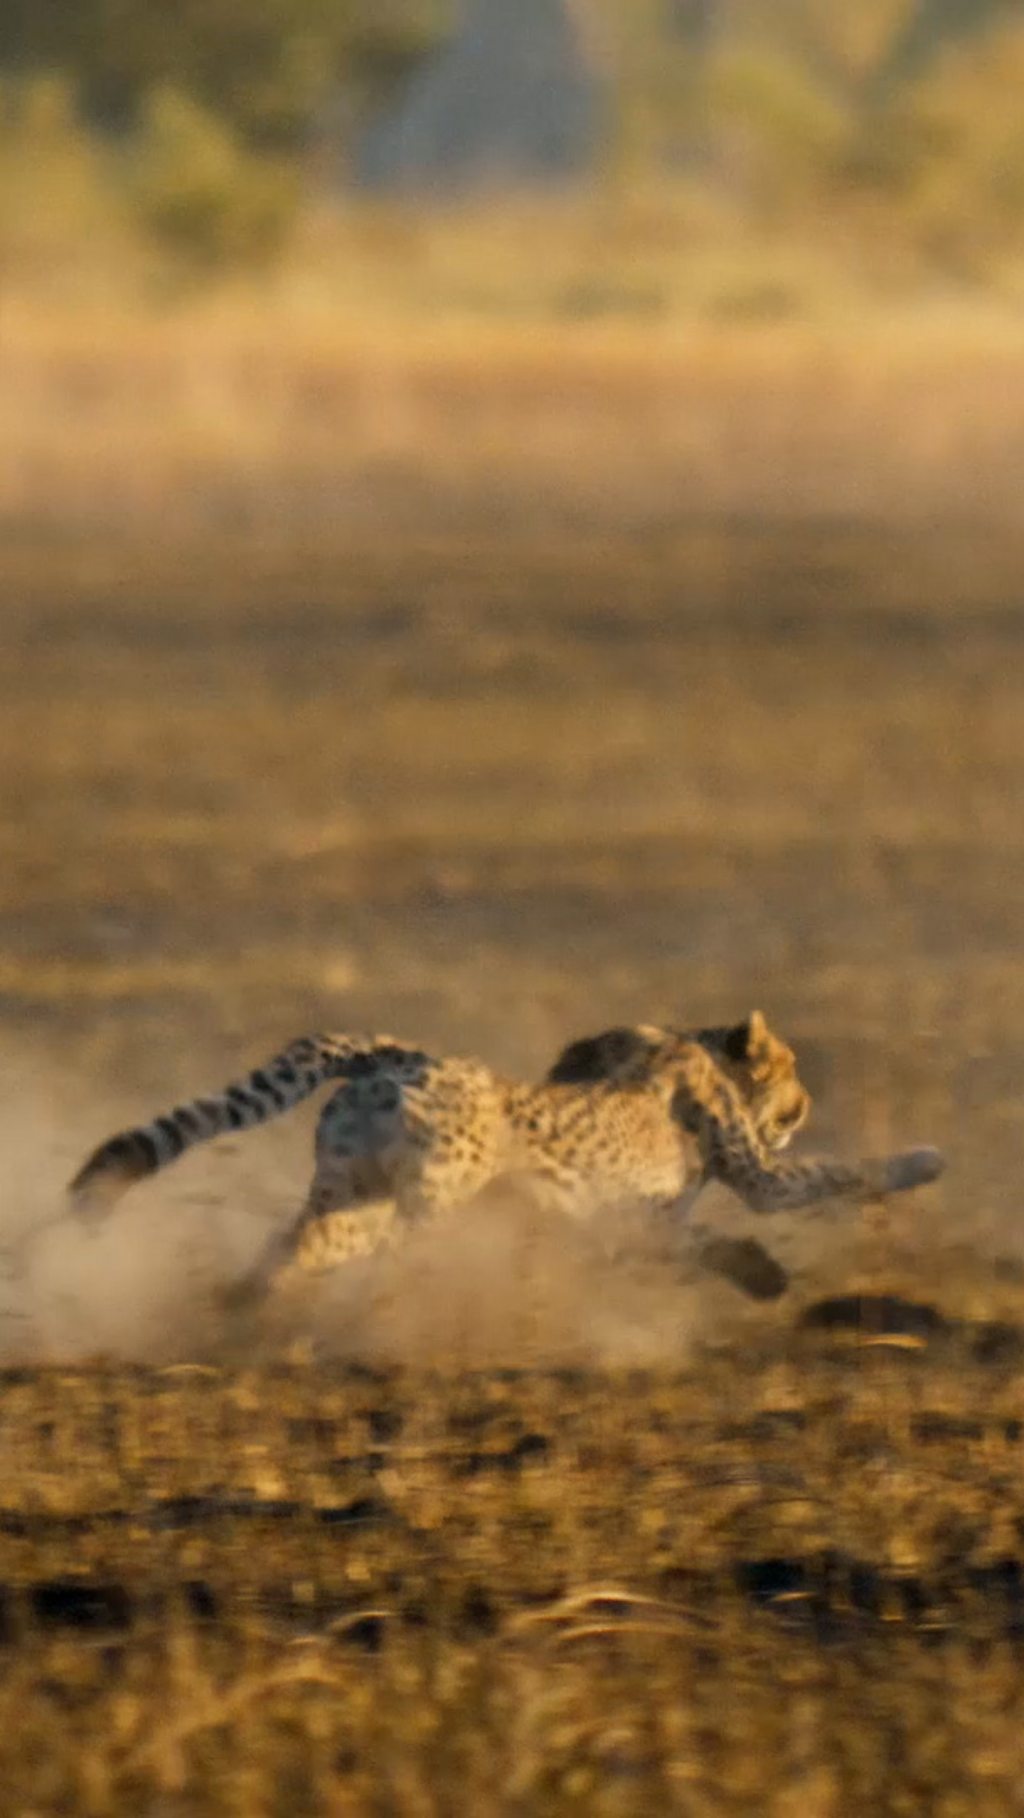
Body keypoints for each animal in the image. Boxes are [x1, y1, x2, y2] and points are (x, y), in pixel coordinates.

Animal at [65, 1010, 945, 1308]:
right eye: (791, 1067)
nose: (807, 1100)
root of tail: (398, 1053)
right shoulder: (756, 1174)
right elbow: (832, 1174)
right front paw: (924, 1160)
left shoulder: (626, 1225)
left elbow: (691, 1241)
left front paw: (758, 1273)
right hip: (421, 1200)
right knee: (375, 1253)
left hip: (350, 1192)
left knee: (294, 1244)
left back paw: (246, 1305)